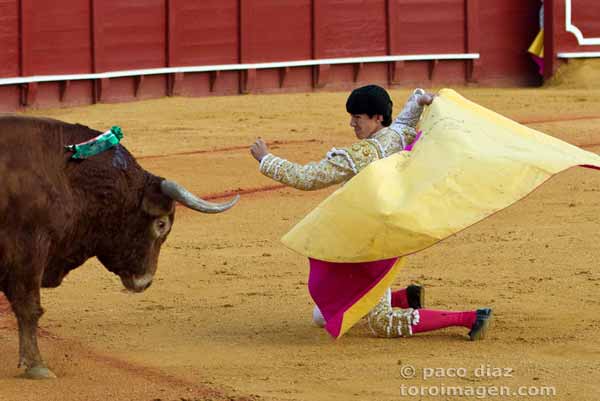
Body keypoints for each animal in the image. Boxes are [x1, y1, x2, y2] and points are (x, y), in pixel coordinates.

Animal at [0, 115, 239, 378]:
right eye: (161, 224)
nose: (144, 282)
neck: (65, 173)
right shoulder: (30, 249)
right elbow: (29, 306)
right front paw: (36, 365)